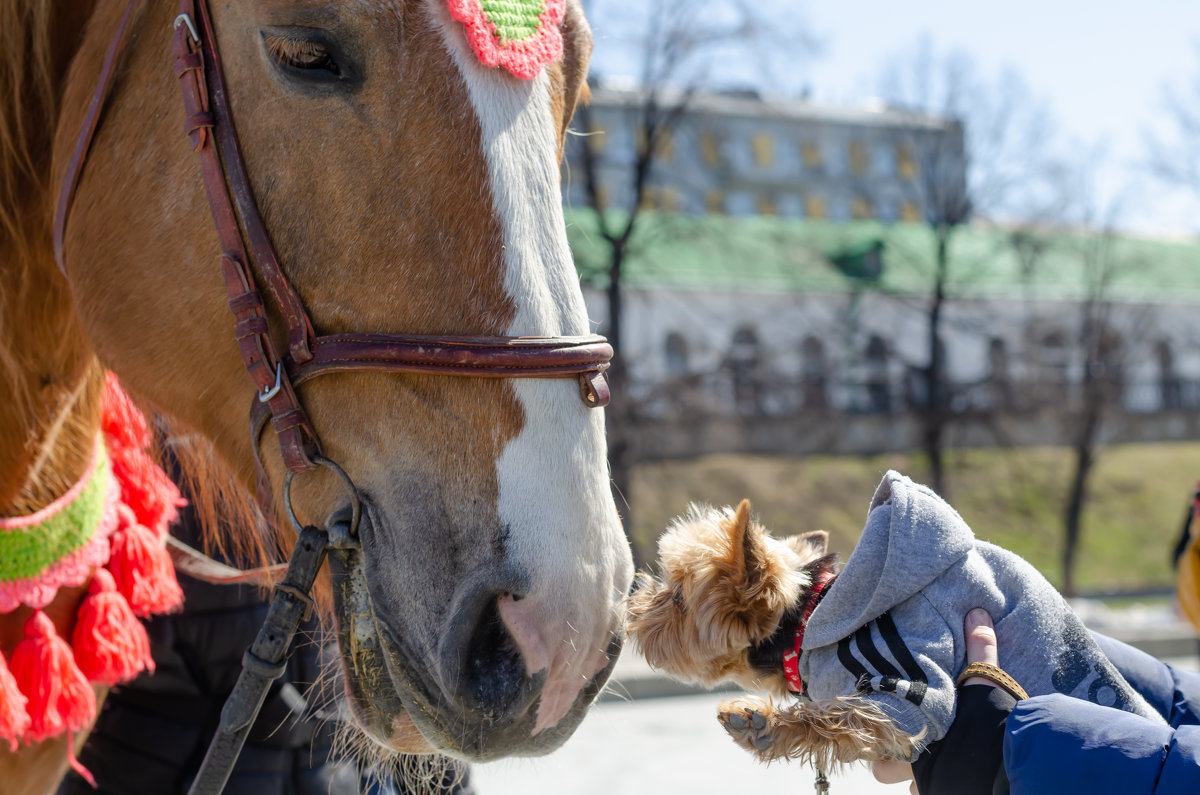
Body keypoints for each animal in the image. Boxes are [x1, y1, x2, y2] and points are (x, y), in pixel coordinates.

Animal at [624, 470, 1166, 773]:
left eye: (675, 597)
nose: (632, 602)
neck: (807, 615)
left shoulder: (902, 667)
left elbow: (847, 712)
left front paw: (767, 723)